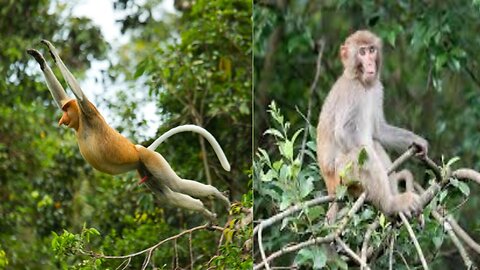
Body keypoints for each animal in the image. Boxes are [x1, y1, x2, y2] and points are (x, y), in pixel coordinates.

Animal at [26, 40, 232, 221]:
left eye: (66, 111)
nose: (62, 119)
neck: (82, 124)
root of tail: (139, 149)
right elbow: (62, 95)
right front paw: (40, 59)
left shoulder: (89, 111)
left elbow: (79, 94)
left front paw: (52, 51)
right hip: (143, 168)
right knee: (169, 196)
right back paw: (206, 212)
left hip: (150, 159)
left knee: (177, 184)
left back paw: (218, 195)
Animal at [316, 30, 426, 223]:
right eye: (362, 52)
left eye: (371, 50)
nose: (369, 62)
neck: (362, 83)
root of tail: (329, 186)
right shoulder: (352, 92)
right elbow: (345, 134)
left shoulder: (377, 88)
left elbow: (379, 131)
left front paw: (418, 142)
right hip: (342, 176)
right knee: (361, 154)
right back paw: (391, 204)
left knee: (375, 145)